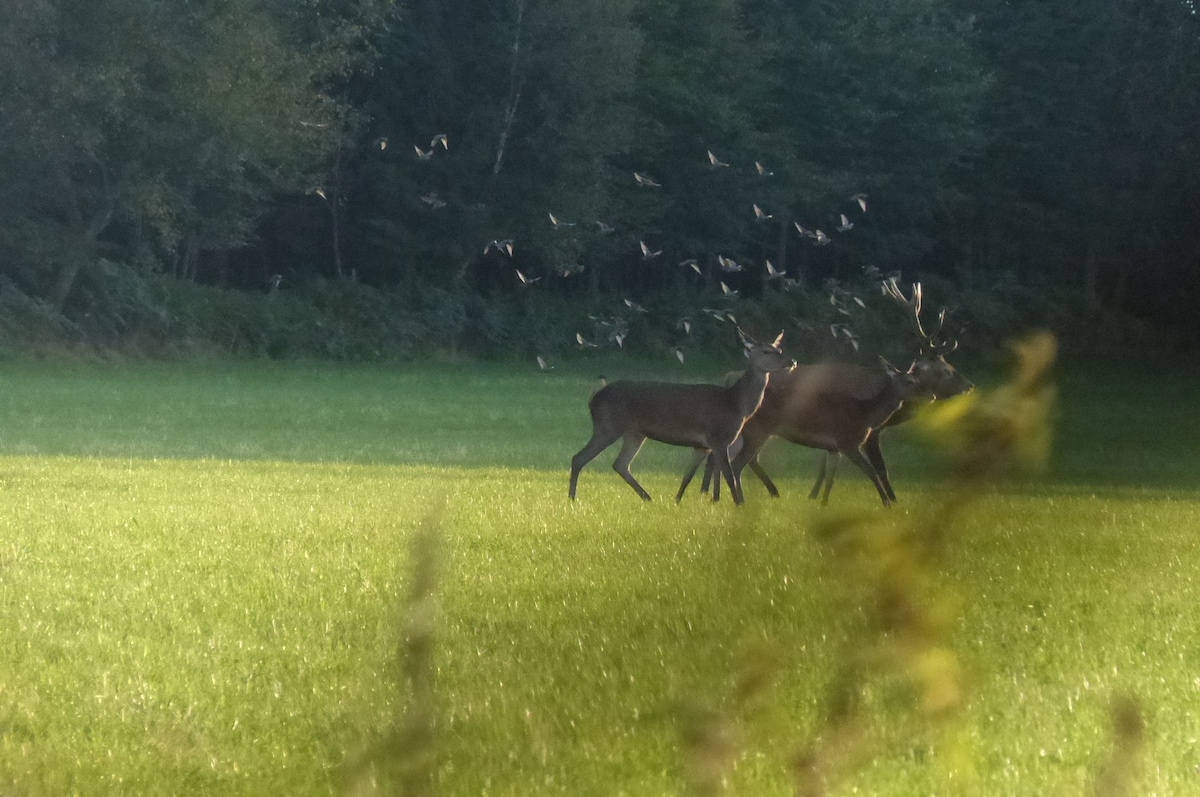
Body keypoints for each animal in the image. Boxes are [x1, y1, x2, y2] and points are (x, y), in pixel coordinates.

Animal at [568, 328, 796, 504]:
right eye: (766, 351)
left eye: (780, 349)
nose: (792, 361)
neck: (735, 404)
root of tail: (593, 398)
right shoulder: (718, 438)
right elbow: (729, 475)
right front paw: (739, 503)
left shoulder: (701, 445)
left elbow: (687, 476)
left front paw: (677, 501)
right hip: (607, 426)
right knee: (579, 458)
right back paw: (572, 498)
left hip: (635, 433)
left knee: (620, 464)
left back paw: (647, 497)